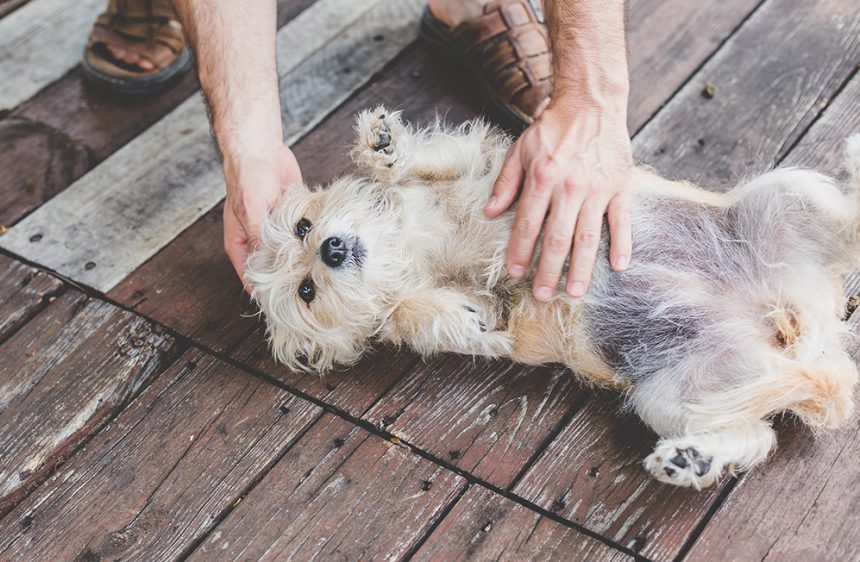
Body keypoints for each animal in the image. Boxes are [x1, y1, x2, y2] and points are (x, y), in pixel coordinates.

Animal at [247, 106, 860, 486]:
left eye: (302, 226)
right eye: (305, 291)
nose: (330, 248)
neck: (416, 245)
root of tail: (785, 327)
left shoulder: (489, 168)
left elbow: (434, 159)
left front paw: (384, 146)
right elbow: (411, 312)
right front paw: (467, 310)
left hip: (784, 198)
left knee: (849, 225)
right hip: (675, 394)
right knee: (755, 437)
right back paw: (694, 459)